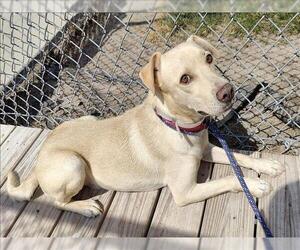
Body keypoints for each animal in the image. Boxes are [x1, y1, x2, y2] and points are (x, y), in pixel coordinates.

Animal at [6, 35, 284, 217]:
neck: (178, 126)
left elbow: (237, 157)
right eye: (185, 79)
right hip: (72, 164)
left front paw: (267, 165)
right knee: (56, 202)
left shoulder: (206, 149)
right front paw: (255, 185)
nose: (228, 91)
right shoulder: (185, 192)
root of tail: (40, 155)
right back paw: (85, 207)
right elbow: (229, 179)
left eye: (208, 58)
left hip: (88, 119)